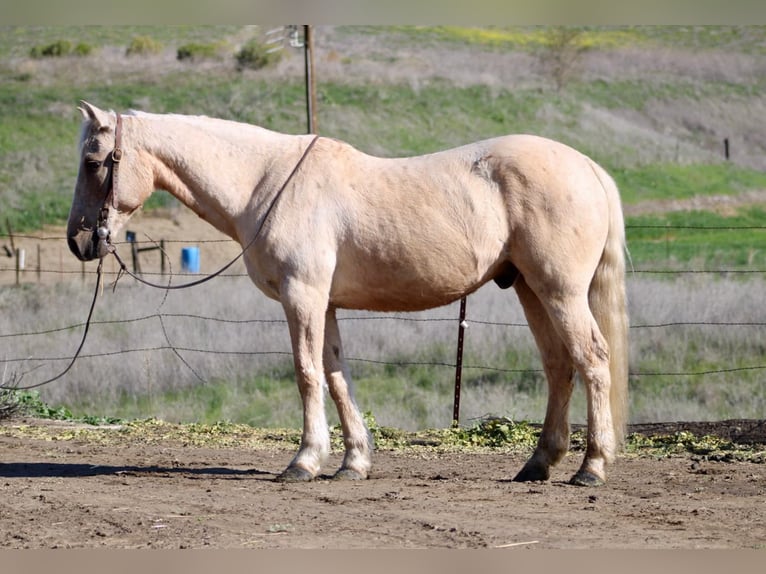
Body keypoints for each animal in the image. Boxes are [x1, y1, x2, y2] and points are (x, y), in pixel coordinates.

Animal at [68, 101, 628, 486]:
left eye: (94, 161)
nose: (79, 240)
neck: (265, 182)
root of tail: (588, 167)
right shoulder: (327, 305)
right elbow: (336, 376)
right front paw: (353, 461)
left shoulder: (302, 297)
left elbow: (307, 374)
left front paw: (303, 462)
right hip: (531, 290)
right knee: (559, 366)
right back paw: (539, 463)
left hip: (560, 292)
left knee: (593, 360)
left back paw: (592, 467)